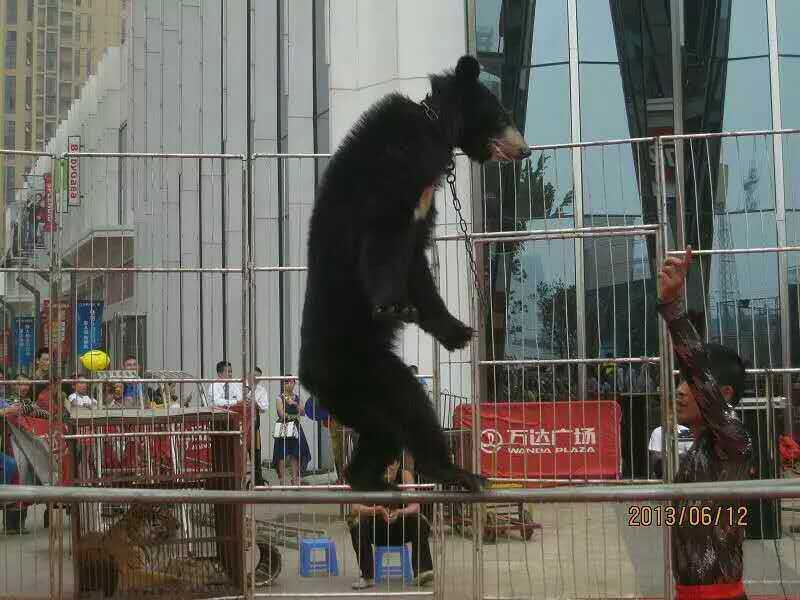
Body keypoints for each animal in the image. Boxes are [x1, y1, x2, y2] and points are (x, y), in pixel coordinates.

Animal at [298, 55, 531, 492]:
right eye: (503, 114)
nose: (526, 150)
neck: (433, 124)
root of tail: (309, 378)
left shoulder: (424, 207)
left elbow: (418, 266)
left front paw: (459, 333)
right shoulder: (394, 171)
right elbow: (384, 239)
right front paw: (393, 307)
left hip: (364, 389)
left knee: (388, 428)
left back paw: (375, 479)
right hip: (363, 371)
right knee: (412, 409)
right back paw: (452, 471)